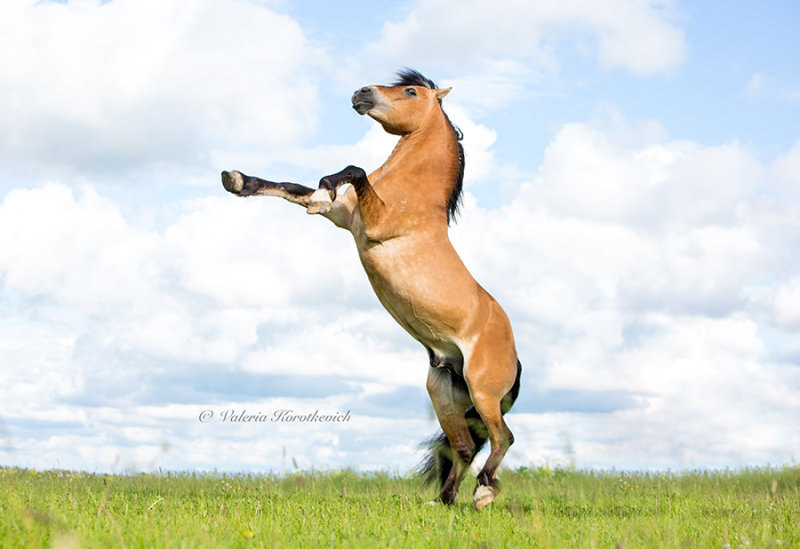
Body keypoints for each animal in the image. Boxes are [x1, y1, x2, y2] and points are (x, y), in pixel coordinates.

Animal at [219, 68, 520, 510]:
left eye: (410, 91)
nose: (361, 92)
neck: (412, 193)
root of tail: (516, 360)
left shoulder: (376, 225)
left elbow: (353, 169)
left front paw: (325, 183)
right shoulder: (342, 217)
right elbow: (292, 188)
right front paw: (238, 180)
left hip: (484, 393)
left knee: (503, 437)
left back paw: (483, 493)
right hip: (444, 392)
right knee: (464, 447)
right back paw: (443, 501)